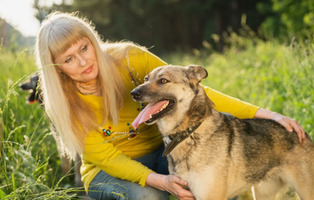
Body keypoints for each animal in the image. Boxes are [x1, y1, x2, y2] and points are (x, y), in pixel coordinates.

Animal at [131, 65, 314, 200]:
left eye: (163, 80)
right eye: (146, 79)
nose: (134, 93)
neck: (189, 132)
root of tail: (304, 133)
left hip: (306, 191)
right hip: (262, 192)